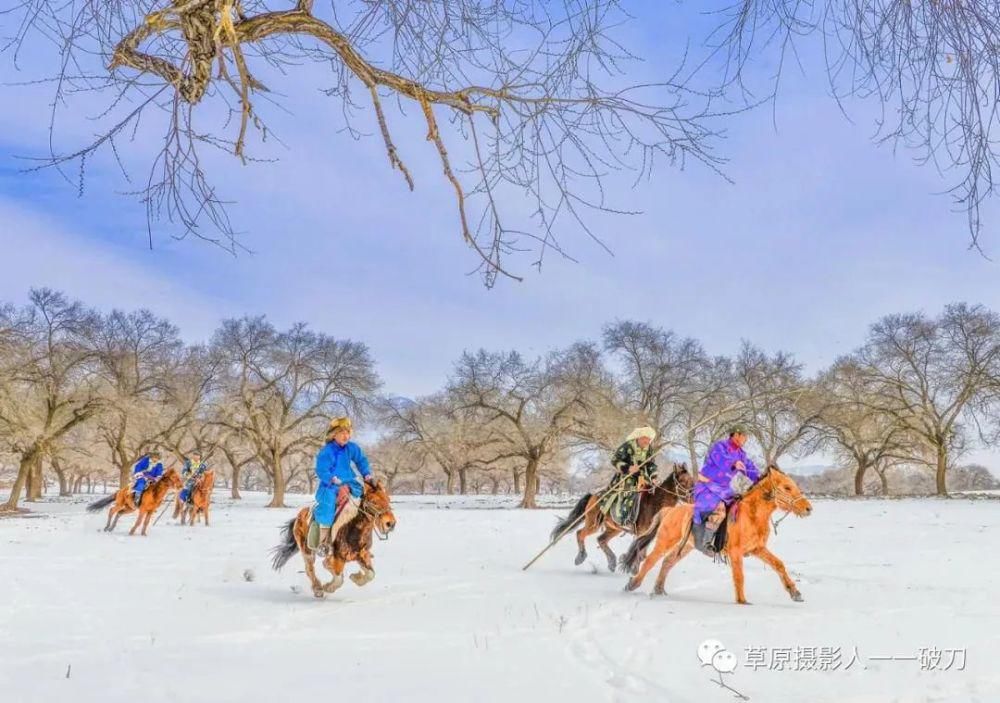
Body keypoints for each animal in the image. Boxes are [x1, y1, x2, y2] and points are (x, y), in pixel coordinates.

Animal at [274, 478, 402, 600]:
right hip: (307, 551)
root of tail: (300, 515)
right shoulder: (338, 557)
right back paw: (318, 589)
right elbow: (338, 577)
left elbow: (370, 574)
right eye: (374, 502)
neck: (352, 527)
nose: (390, 524)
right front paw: (328, 587)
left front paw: (355, 577)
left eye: (388, 500)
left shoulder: (362, 554)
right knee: (309, 568)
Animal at [548, 464, 696, 576]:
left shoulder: (647, 534)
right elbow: (639, 553)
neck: (655, 502)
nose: (694, 497)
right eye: (684, 481)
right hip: (593, 524)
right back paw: (581, 557)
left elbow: (642, 554)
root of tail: (594, 495)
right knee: (580, 534)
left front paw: (631, 567)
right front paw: (633, 569)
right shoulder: (641, 532)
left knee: (601, 540)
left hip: (613, 528)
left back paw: (612, 562)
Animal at [624, 468, 812, 604]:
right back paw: (632, 584)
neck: (751, 516)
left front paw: (795, 593)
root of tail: (669, 510)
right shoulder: (736, 553)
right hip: (665, 541)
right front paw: (742, 602)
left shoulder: (757, 549)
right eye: (787, 487)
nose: (808, 508)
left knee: (667, 562)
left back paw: (658, 589)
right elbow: (739, 576)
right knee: (650, 560)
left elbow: (778, 564)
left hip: (686, 547)